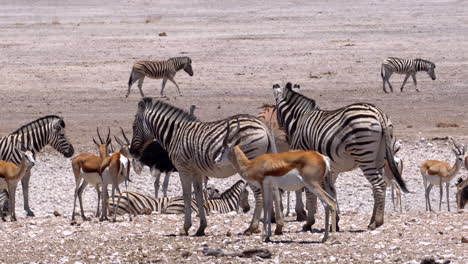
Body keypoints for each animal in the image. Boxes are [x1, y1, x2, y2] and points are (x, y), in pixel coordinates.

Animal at [128, 98, 282, 236]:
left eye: (134, 127)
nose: (131, 152)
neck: (174, 135)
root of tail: (263, 125)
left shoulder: (183, 169)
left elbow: (187, 195)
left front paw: (185, 228)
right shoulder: (197, 171)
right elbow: (199, 195)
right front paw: (201, 228)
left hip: (249, 163)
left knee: (259, 194)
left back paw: (252, 227)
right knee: (274, 189)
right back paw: (278, 226)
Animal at [272, 83, 408, 231]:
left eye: (275, 110)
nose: (285, 138)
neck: (300, 120)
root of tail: (378, 113)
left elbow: (311, 193)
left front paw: (309, 222)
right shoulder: (331, 169)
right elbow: (332, 192)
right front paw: (335, 222)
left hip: (364, 155)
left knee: (379, 184)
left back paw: (376, 222)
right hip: (379, 158)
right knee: (375, 187)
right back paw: (372, 220)